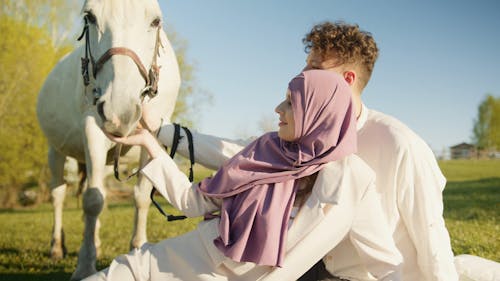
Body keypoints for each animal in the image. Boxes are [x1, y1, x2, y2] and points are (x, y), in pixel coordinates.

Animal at [37, 1, 182, 278]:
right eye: (89, 17)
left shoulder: (153, 138)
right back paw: (57, 246)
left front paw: (137, 247)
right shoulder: (92, 130)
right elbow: (93, 200)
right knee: (58, 195)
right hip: (54, 151)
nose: (119, 111)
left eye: (155, 21)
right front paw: (85, 266)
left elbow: (141, 195)